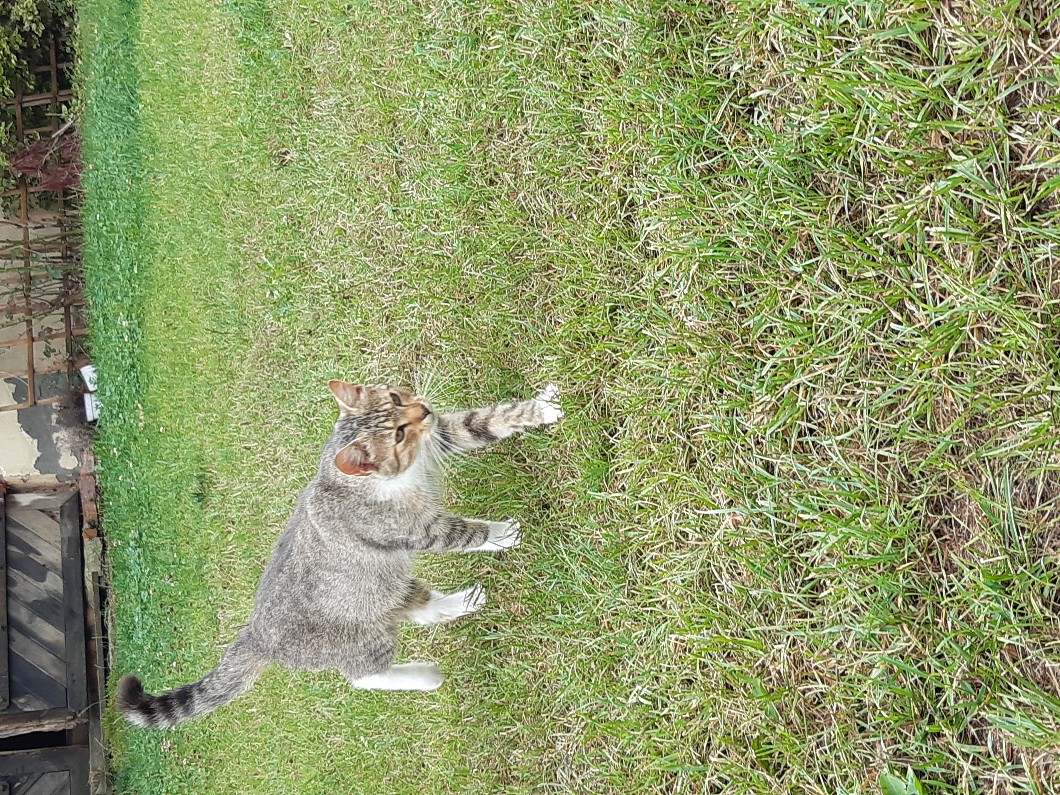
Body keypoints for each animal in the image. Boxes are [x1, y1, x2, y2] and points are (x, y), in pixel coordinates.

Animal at [116, 380, 563, 728]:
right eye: (398, 433)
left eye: (397, 398)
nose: (424, 409)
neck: (389, 481)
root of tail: (256, 634)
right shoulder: (416, 531)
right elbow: (465, 533)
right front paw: (504, 534)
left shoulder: (442, 434)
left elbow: (480, 422)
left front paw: (542, 406)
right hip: (363, 638)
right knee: (364, 677)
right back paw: (426, 675)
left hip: (385, 587)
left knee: (421, 608)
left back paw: (465, 601)